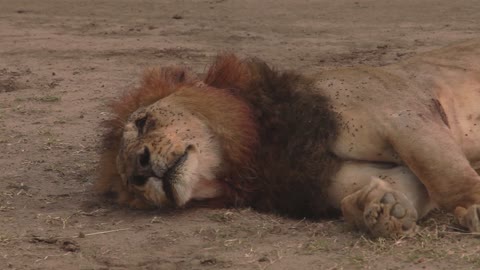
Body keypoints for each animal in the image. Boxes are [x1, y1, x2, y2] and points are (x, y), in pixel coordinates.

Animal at [95, 39, 480, 237]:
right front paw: (380, 208)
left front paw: (474, 207)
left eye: (143, 122)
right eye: (130, 185)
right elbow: (410, 187)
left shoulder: (400, 112)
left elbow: (447, 179)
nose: (140, 169)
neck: (260, 151)